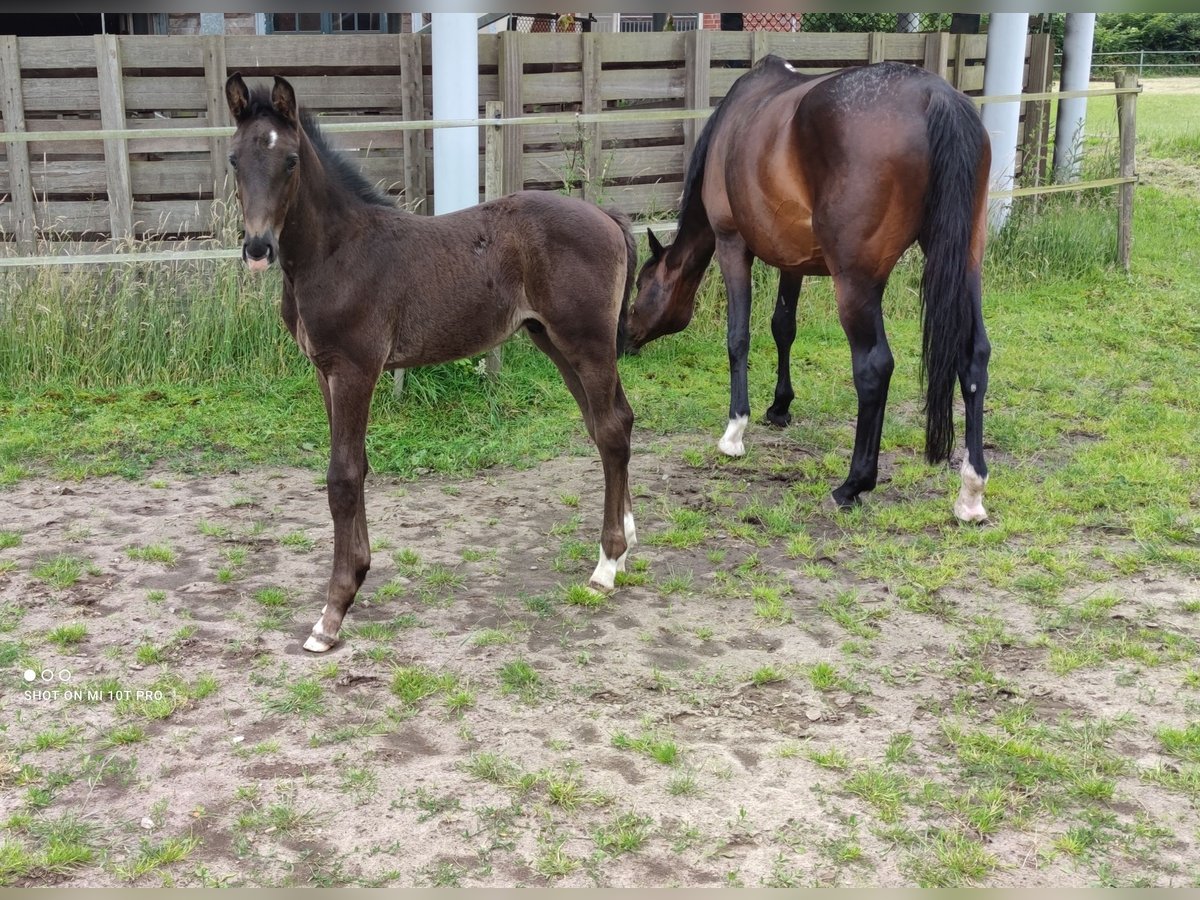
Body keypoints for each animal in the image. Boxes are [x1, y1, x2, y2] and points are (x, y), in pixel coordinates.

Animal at [225, 75, 638, 657]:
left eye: (289, 160)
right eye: (235, 159)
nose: (258, 248)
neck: (336, 252)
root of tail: (607, 216)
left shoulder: (355, 369)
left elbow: (342, 477)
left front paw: (331, 614)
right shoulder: (324, 371)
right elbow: (355, 468)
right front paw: (358, 575)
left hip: (588, 342)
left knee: (611, 429)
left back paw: (606, 563)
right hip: (555, 343)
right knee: (611, 424)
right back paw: (625, 543)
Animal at [628, 58, 993, 520]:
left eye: (641, 285)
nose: (624, 337)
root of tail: (934, 95)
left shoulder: (731, 244)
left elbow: (738, 337)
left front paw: (735, 431)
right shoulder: (793, 260)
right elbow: (783, 326)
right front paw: (780, 407)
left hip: (855, 283)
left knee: (874, 367)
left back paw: (853, 485)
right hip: (965, 263)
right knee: (974, 357)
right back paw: (971, 492)